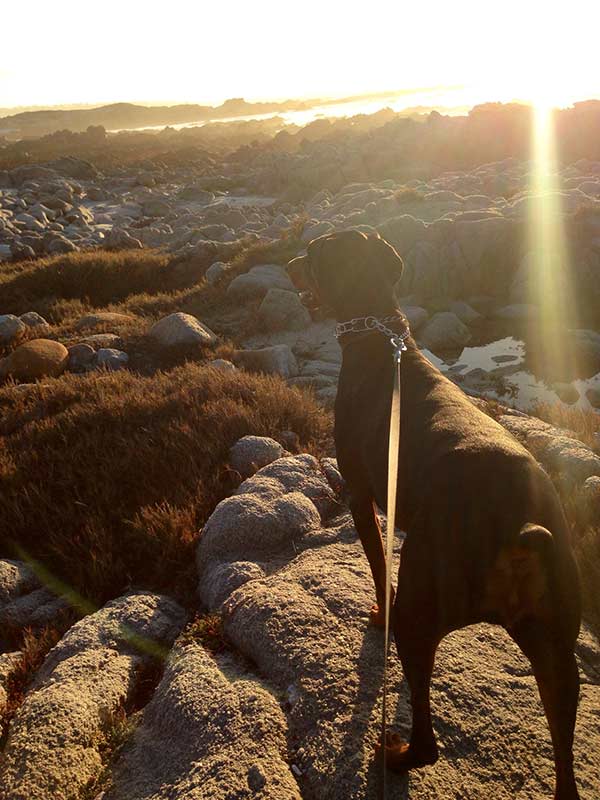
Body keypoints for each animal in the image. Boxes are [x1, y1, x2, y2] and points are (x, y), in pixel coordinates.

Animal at [288, 228, 584, 800]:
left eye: (311, 254)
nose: (289, 261)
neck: (379, 340)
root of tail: (516, 527)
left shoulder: (362, 495)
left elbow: (378, 565)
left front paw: (374, 609)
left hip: (420, 611)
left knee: (428, 740)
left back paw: (397, 754)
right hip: (559, 647)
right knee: (565, 754)